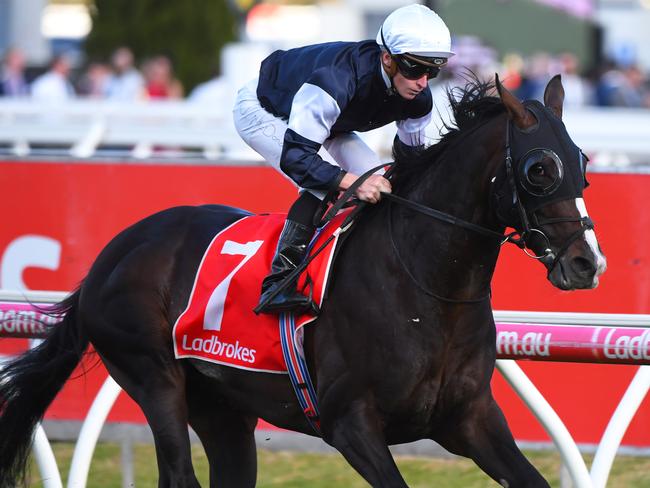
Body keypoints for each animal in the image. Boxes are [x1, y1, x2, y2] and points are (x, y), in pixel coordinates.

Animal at [2, 74, 604, 486]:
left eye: (581, 162)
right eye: (539, 169)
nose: (587, 263)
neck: (427, 290)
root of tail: (111, 255)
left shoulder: (471, 417)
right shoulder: (349, 423)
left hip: (222, 410)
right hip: (153, 378)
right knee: (177, 471)